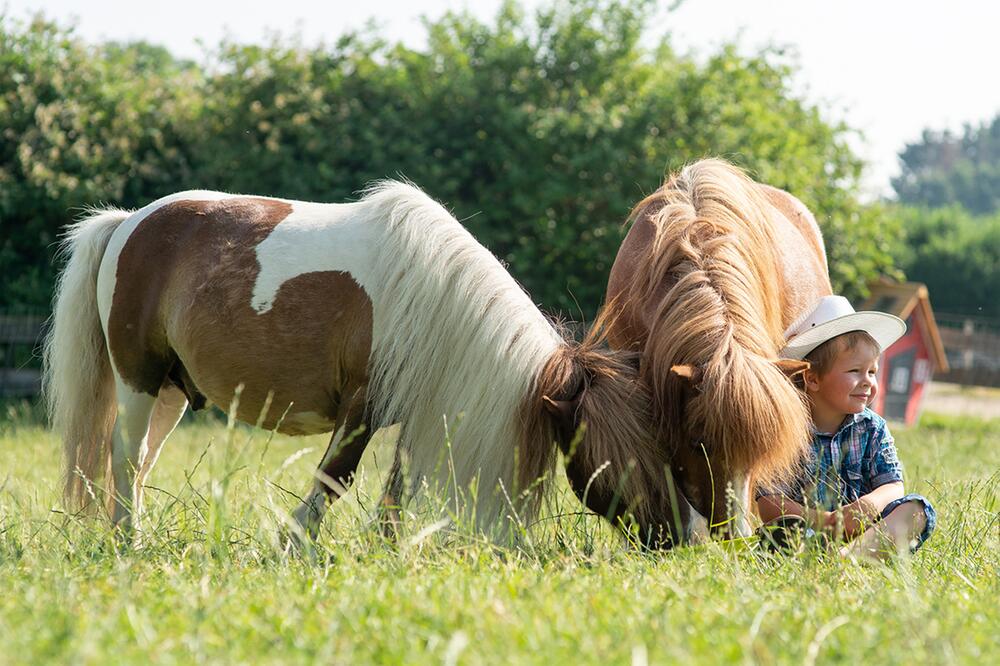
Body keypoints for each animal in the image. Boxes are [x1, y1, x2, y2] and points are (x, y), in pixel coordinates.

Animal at [43, 183, 704, 548]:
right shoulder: (363, 408)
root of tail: (128, 221)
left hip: (172, 392)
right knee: (127, 456)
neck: (432, 296)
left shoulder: (408, 412)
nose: (685, 534)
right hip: (138, 379)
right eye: (624, 451)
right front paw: (293, 546)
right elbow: (335, 479)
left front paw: (383, 552)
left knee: (135, 461)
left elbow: (395, 490)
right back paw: (129, 542)